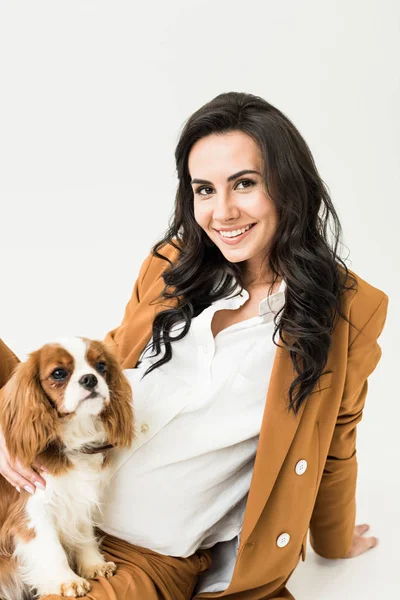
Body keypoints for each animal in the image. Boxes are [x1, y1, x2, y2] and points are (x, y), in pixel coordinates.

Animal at [0, 338, 134, 600]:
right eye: (59, 373)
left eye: (101, 367)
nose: (90, 378)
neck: (75, 432)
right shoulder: (32, 509)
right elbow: (50, 547)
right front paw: (66, 580)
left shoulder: (78, 498)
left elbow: (83, 532)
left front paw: (93, 564)